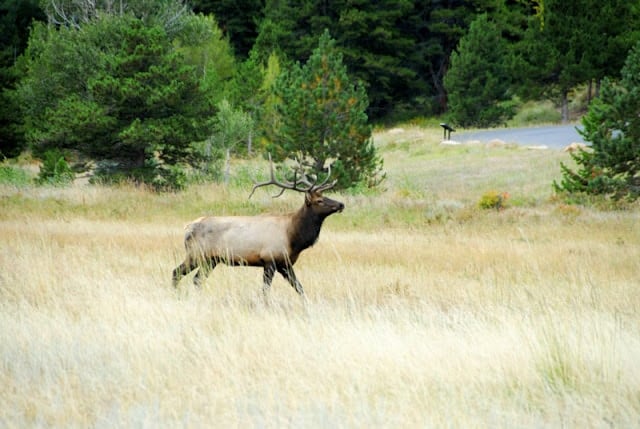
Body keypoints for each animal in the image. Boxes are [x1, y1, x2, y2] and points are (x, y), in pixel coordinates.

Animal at [172, 157, 344, 298]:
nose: (341, 204)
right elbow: (265, 290)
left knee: (196, 279)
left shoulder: (285, 264)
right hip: (196, 254)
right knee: (177, 273)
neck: (294, 238)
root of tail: (188, 228)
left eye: (325, 196)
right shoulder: (269, 260)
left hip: (211, 260)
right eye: (319, 201)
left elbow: (299, 288)